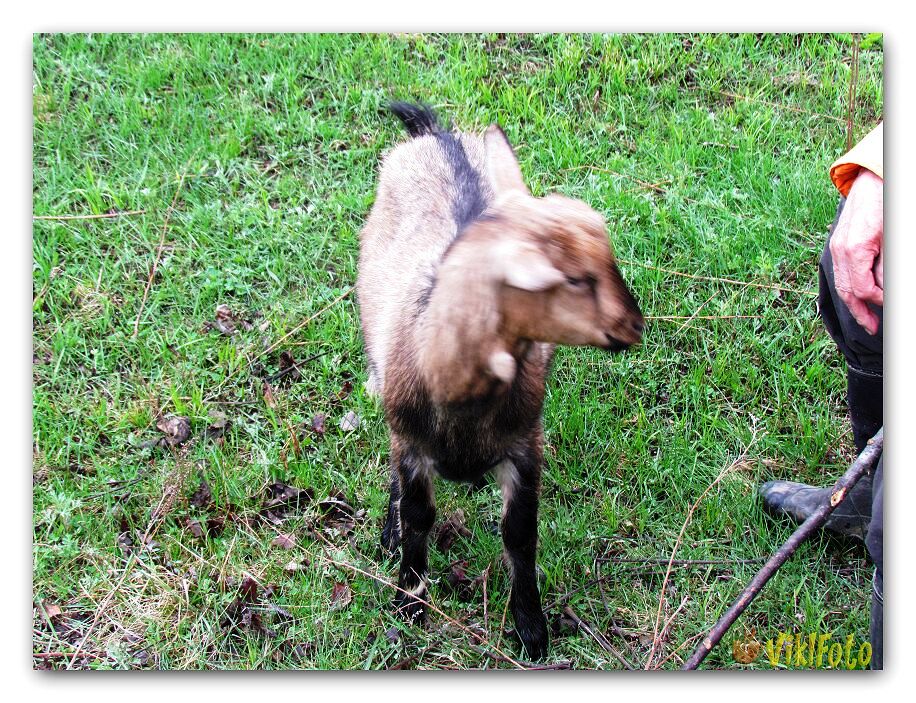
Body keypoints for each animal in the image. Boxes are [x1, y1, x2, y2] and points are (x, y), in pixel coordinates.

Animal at [356, 104, 644, 660]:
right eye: (573, 279)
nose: (634, 325)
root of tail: (437, 135)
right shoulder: (413, 446)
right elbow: (419, 516)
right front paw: (409, 600)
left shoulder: (524, 447)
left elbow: (520, 533)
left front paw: (531, 630)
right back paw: (389, 529)